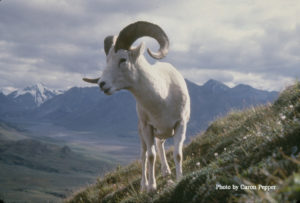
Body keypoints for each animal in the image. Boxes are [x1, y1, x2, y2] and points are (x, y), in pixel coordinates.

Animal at [82, 21, 190, 193]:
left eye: (122, 59)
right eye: (107, 60)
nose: (102, 84)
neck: (162, 98)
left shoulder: (180, 124)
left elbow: (178, 154)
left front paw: (180, 179)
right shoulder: (147, 128)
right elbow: (151, 156)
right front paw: (151, 187)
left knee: (160, 146)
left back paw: (166, 172)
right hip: (143, 135)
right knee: (144, 155)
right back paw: (143, 185)